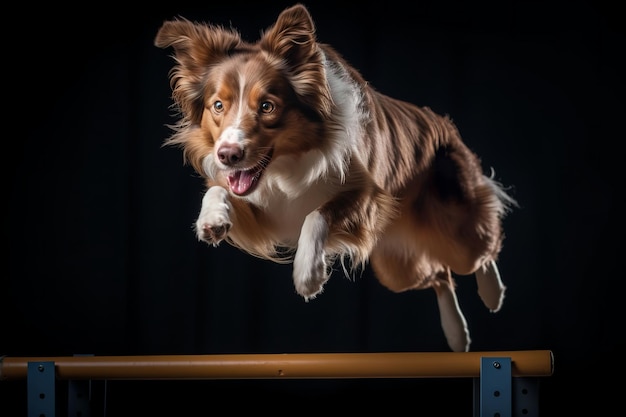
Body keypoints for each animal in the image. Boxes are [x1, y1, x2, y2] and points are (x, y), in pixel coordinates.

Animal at [154, 2, 516, 352]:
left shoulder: (368, 194)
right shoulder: (264, 213)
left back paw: (493, 293)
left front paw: (308, 274)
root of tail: (446, 126)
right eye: (218, 105)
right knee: (441, 276)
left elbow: (316, 214)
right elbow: (218, 190)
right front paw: (212, 220)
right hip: (396, 266)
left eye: (268, 107)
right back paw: (457, 334)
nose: (227, 155)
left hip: (454, 227)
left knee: (481, 247)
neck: (284, 166)